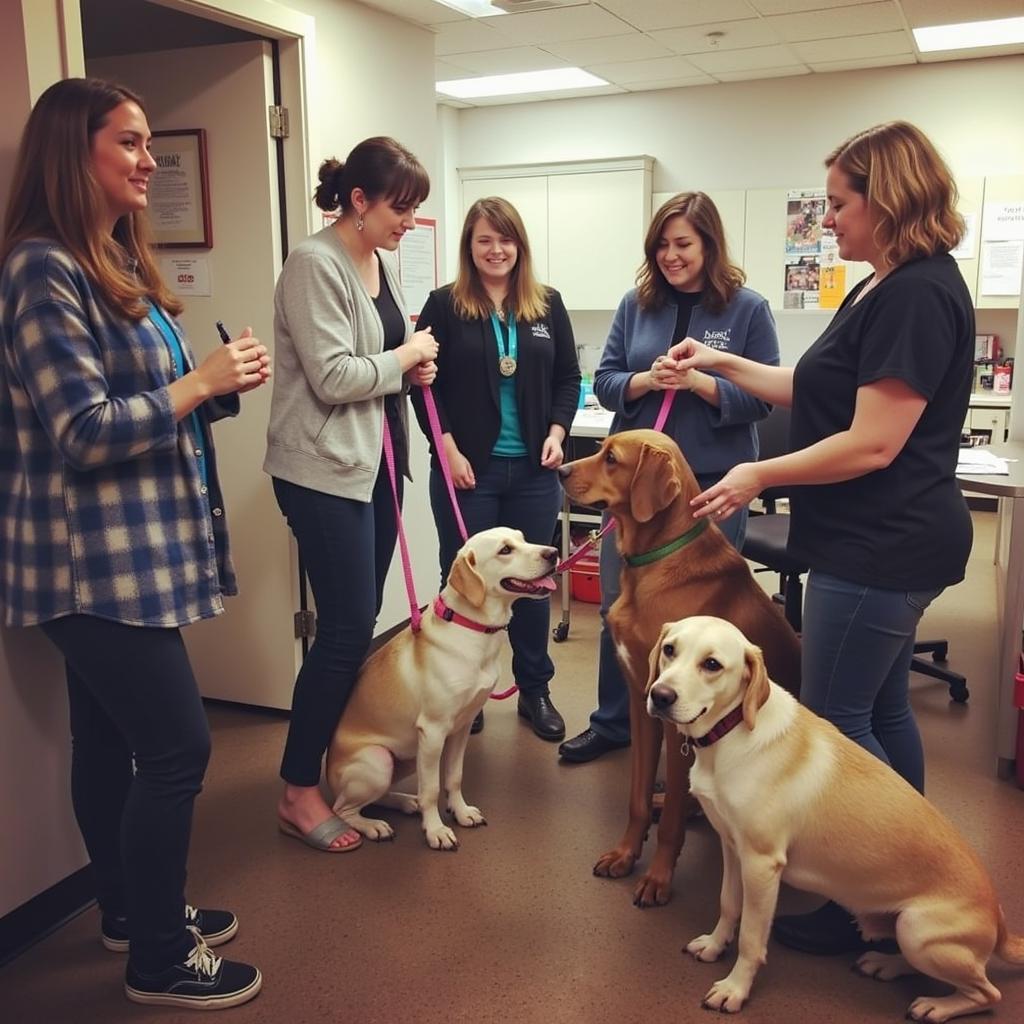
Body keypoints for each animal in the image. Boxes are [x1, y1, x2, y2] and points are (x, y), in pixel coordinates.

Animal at [323, 528, 557, 847]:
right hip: (379, 761)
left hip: (408, 757)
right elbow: (432, 790)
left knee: (378, 797)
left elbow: (454, 777)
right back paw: (373, 826)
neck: (472, 628)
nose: (554, 552)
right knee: (343, 809)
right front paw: (435, 831)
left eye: (522, 538)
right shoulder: (433, 732)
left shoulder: (461, 727)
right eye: (505, 550)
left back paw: (405, 802)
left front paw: (461, 812)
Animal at [557, 428, 802, 909]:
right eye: (600, 447)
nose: (558, 469)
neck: (653, 560)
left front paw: (657, 878)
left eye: (610, 458)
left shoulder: (678, 720)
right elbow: (635, 796)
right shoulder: (643, 700)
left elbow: (671, 817)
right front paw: (625, 853)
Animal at [647, 614, 1024, 1024]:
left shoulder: (762, 865)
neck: (729, 734)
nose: (660, 695)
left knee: (987, 992)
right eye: (670, 650)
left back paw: (936, 1006)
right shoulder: (733, 849)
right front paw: (715, 945)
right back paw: (886, 964)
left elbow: (751, 937)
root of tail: (1000, 919)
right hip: (906, 931)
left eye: (712, 664)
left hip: (917, 929)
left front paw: (735, 989)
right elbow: (728, 905)